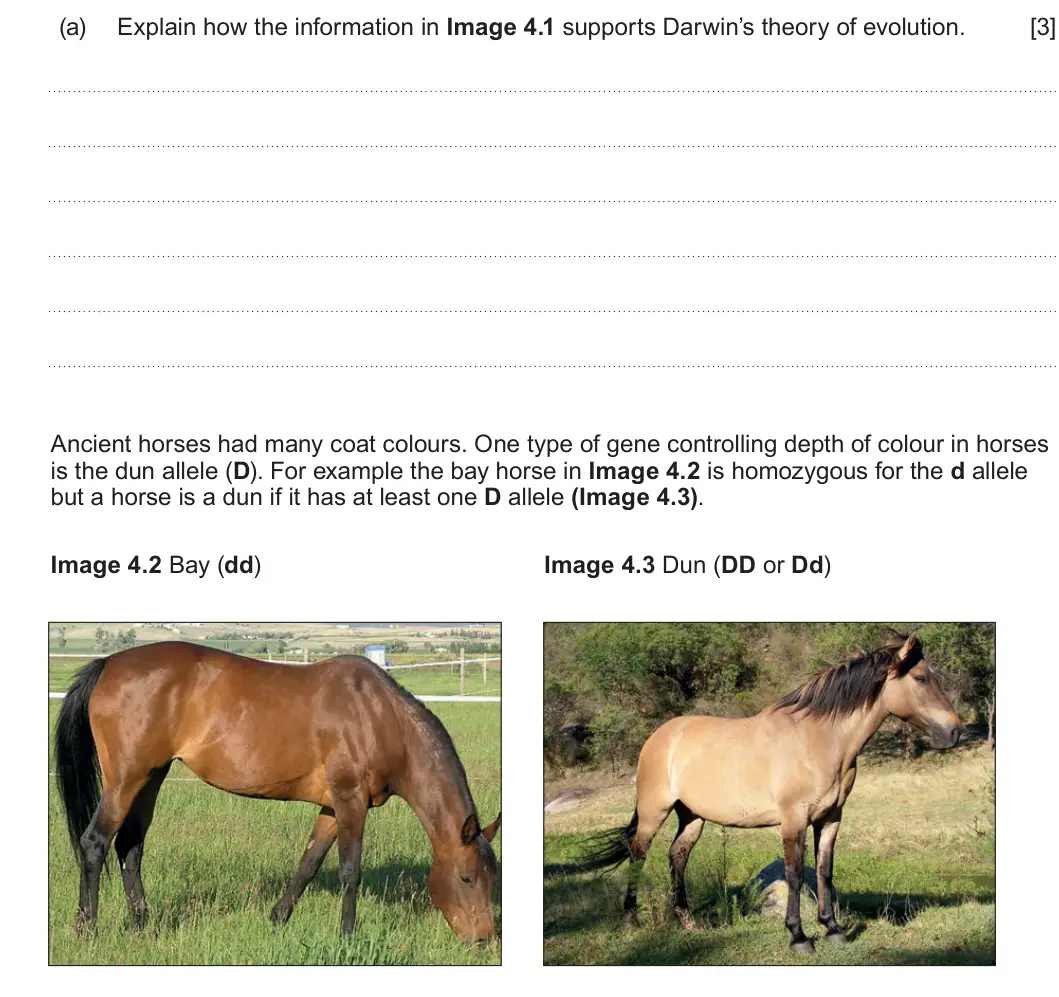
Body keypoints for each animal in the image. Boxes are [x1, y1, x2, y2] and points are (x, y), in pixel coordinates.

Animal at [54, 641, 500, 943]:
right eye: (466, 877)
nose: (483, 939)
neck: (379, 715)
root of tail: (108, 664)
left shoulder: (332, 808)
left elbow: (308, 864)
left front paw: (277, 919)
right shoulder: (351, 801)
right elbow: (349, 871)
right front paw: (347, 936)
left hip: (152, 777)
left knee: (129, 846)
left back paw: (143, 925)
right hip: (125, 782)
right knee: (95, 843)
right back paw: (87, 929)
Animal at [578, 633, 961, 954]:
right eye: (921, 678)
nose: (954, 731)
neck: (819, 740)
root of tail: (660, 736)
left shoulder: (831, 817)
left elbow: (824, 870)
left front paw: (833, 928)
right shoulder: (794, 818)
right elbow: (794, 874)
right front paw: (799, 937)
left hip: (693, 817)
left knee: (678, 856)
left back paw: (686, 921)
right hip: (653, 812)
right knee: (638, 854)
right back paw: (631, 919)